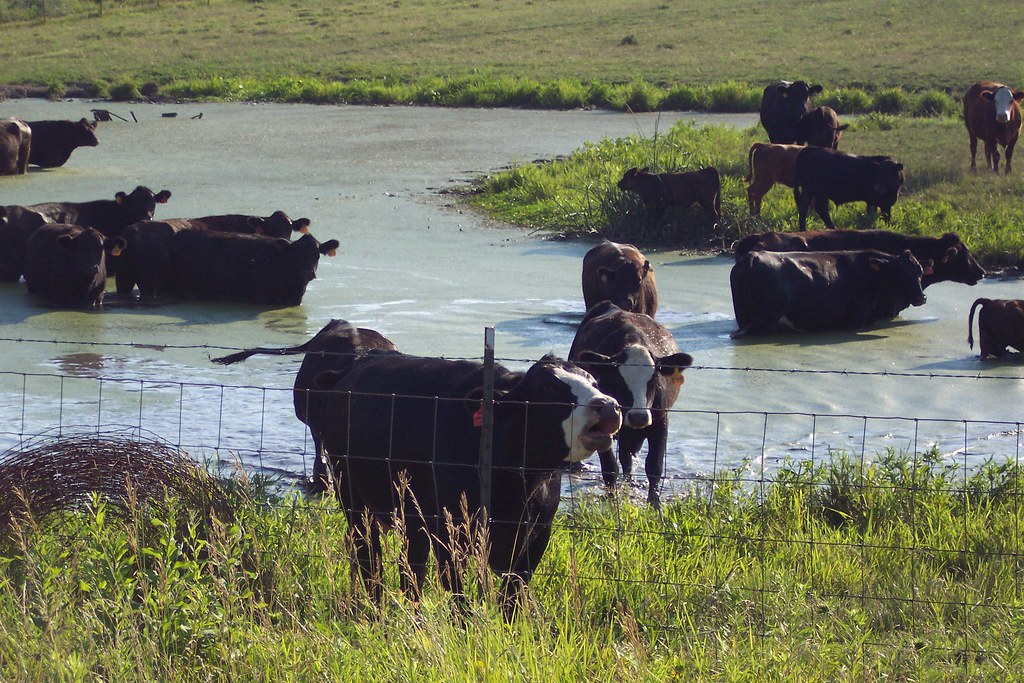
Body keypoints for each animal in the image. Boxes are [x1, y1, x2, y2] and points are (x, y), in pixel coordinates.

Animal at [309, 352, 621, 617]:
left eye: (594, 382)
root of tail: (355, 365)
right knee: (369, 557)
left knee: (410, 566)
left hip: (410, 516)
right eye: (547, 389)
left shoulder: (538, 533)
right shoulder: (450, 531)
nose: (608, 405)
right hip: (353, 499)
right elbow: (457, 593)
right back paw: (377, 612)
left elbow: (512, 596)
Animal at [568, 301, 693, 507]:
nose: (638, 416)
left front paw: (654, 504)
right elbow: (610, 467)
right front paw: (612, 501)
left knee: (628, 457)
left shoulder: (660, 420)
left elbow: (654, 465)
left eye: (654, 379)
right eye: (619, 380)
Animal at [730, 249, 928, 337]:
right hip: (765, 322)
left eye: (920, 272)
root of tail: (753, 256)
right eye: (900, 273)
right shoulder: (855, 321)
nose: (921, 297)